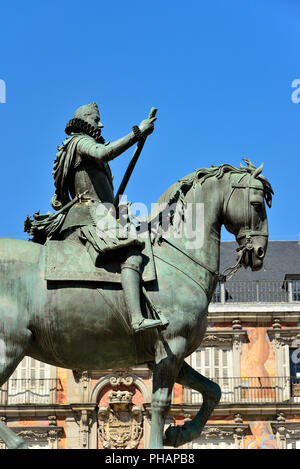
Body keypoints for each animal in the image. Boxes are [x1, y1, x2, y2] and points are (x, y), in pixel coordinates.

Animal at [0, 159, 274, 448]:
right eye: (257, 204)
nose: (259, 253)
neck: (176, 256)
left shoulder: (167, 352)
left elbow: (214, 389)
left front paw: (180, 433)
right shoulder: (172, 344)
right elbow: (160, 402)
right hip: (11, 344)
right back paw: (19, 443)